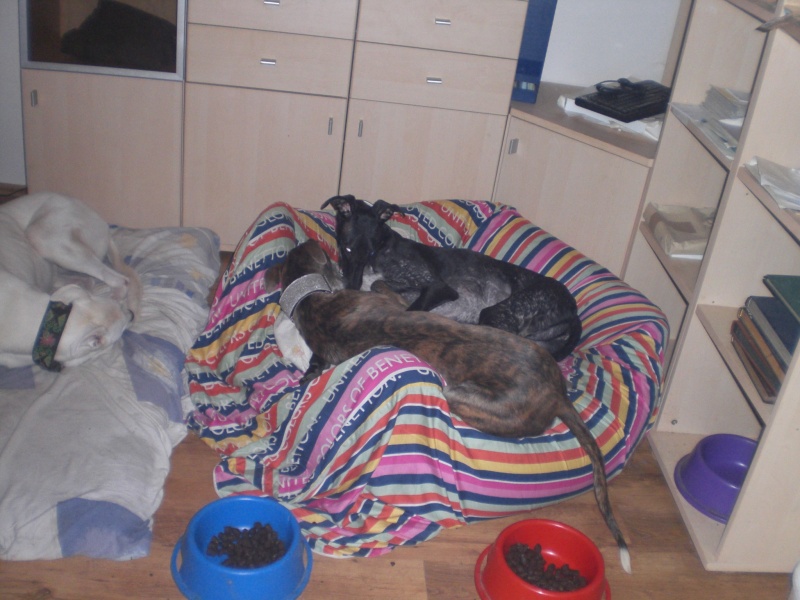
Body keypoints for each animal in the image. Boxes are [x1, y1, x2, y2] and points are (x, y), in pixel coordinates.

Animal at [320, 195, 582, 361]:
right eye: (346, 248)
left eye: (371, 251)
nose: (352, 286)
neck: (384, 249)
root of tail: (574, 309)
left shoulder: (438, 286)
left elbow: (401, 303)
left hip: (499, 312)